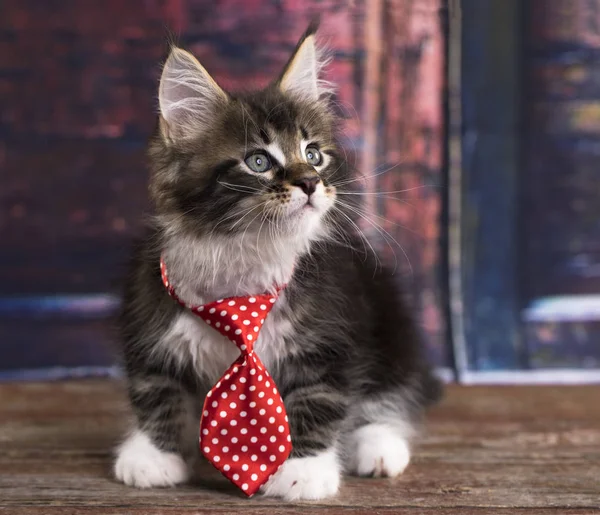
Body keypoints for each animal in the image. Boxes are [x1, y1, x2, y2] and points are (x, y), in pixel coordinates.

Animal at [113, 25, 440, 504]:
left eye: (314, 154)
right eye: (259, 161)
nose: (310, 182)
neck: (246, 255)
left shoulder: (330, 335)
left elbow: (319, 398)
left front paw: (304, 470)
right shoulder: (149, 314)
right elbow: (157, 388)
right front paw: (154, 455)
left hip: (388, 321)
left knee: (388, 392)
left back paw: (379, 445)